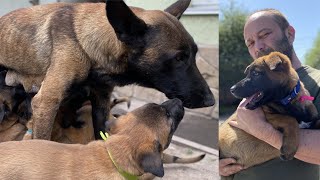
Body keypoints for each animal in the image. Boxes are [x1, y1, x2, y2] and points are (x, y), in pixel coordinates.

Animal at [0, 0, 215, 141]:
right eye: (178, 58)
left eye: (194, 54)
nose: (211, 101)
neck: (86, 43)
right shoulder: (46, 103)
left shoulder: (101, 104)